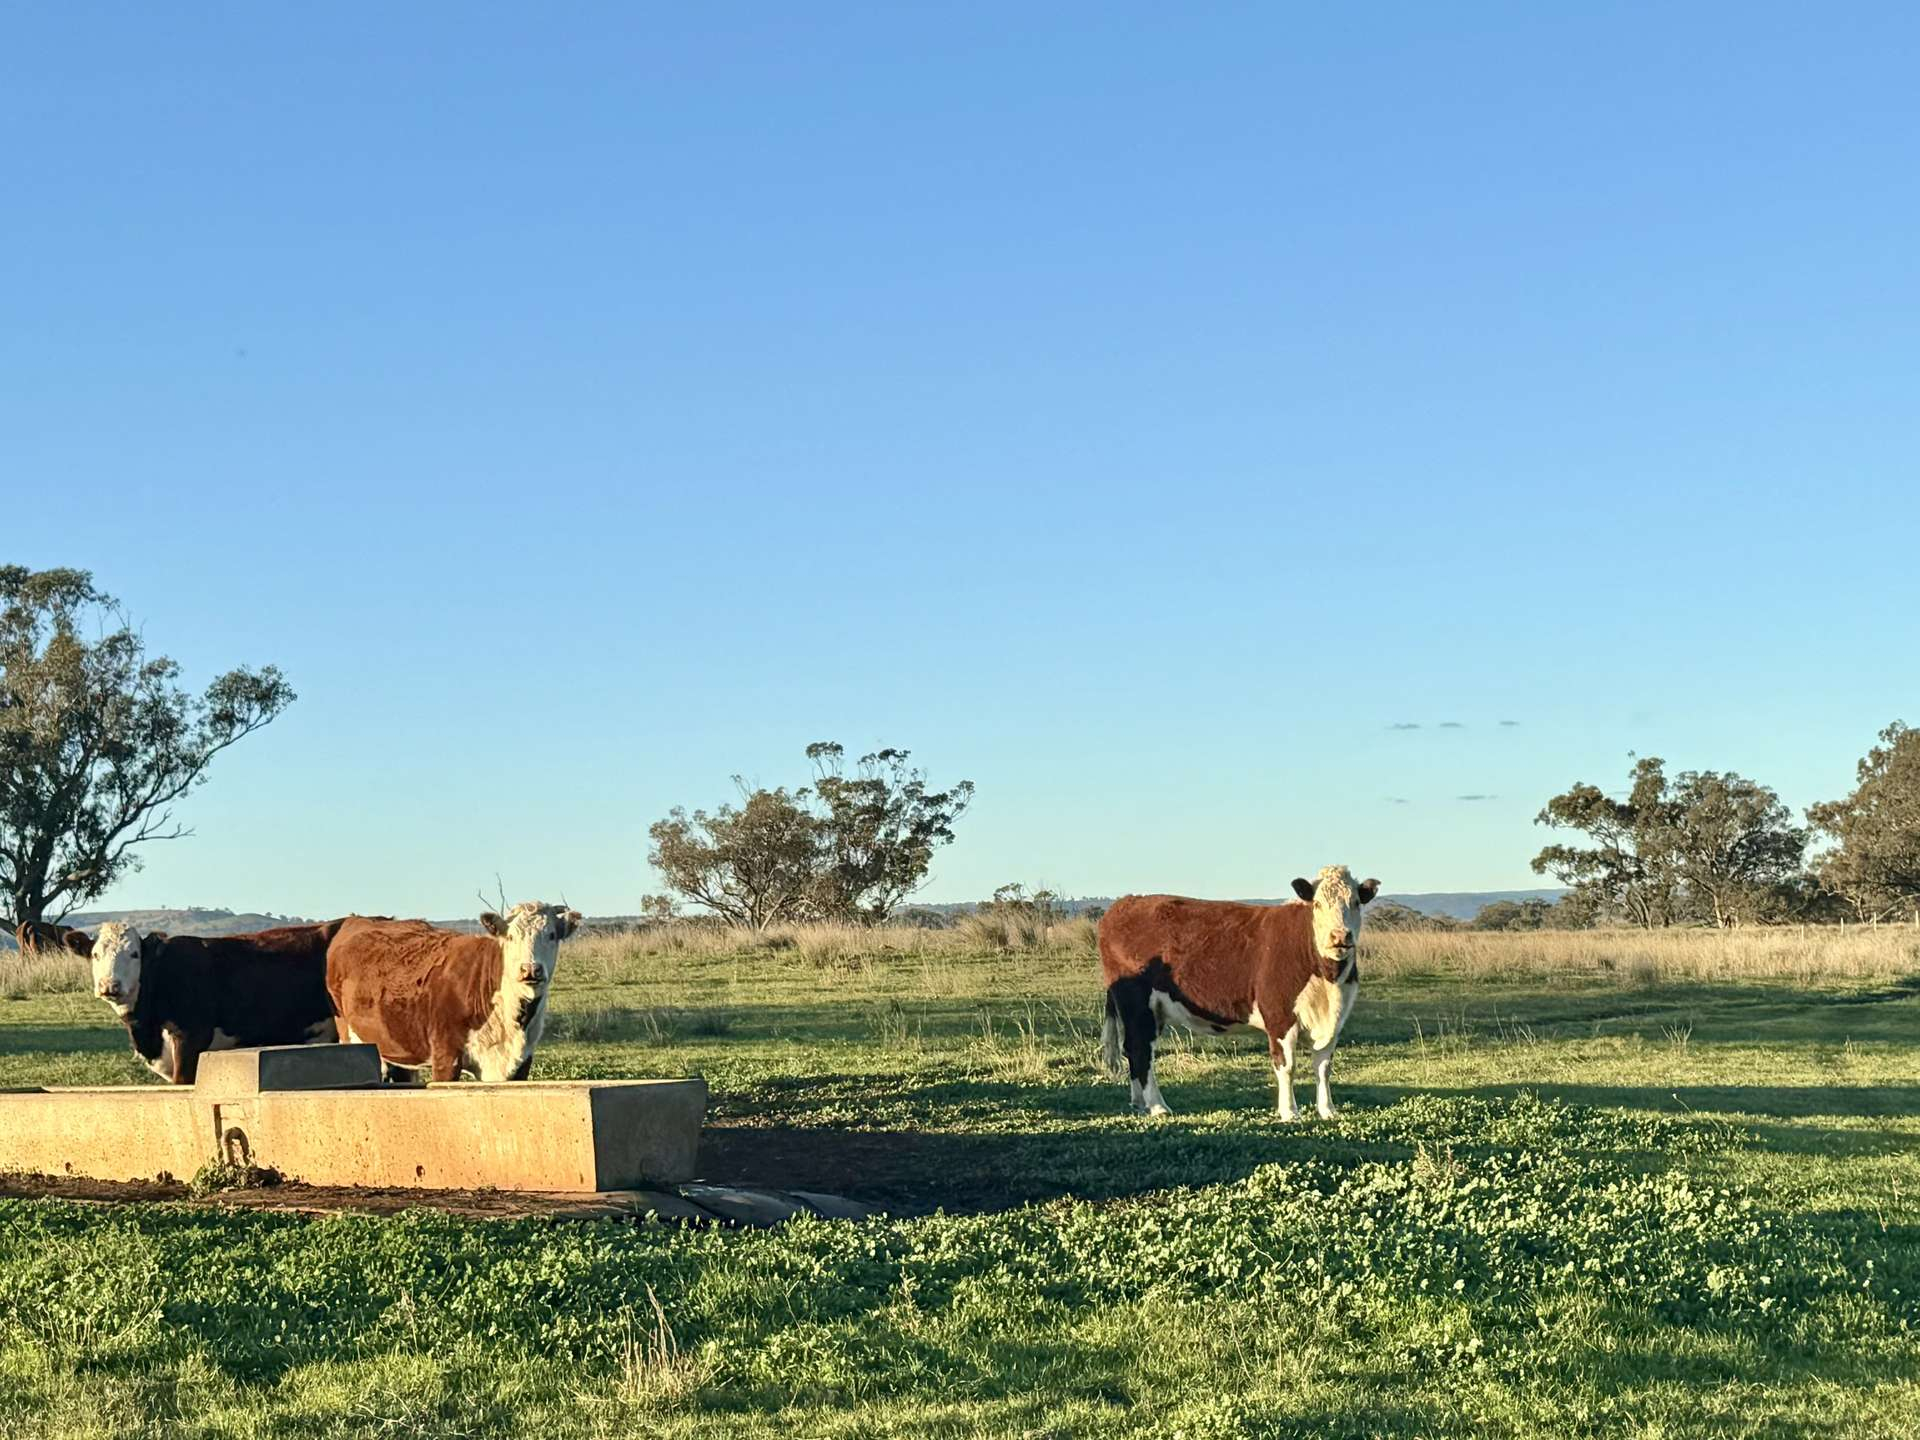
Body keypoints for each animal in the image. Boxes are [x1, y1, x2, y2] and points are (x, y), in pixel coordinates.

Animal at [325, 901, 581, 1083]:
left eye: (552, 935)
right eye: (510, 936)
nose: (530, 969)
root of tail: (357, 920)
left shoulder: (521, 1062)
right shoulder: (445, 1057)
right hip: (349, 1034)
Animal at [1098, 865, 1380, 1120]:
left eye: (1356, 902)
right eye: (1318, 904)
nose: (1339, 936)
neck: (1327, 981)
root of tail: (1126, 902)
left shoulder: (1334, 1021)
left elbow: (1323, 1067)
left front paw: (1328, 1110)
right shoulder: (1279, 1016)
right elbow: (1287, 1066)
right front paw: (1289, 1112)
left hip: (1148, 1010)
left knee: (1132, 1048)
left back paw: (1140, 1103)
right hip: (1137, 1003)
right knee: (1141, 1050)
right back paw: (1158, 1107)